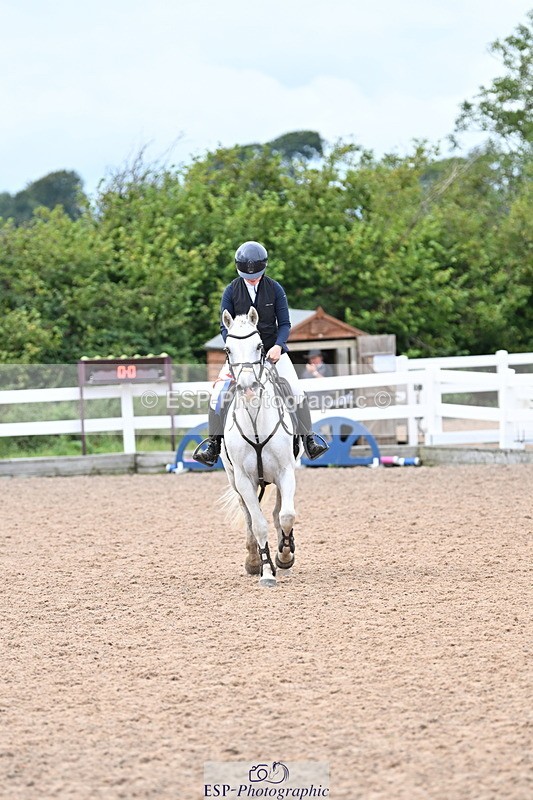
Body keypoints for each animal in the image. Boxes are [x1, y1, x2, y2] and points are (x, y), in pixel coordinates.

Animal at [220, 307, 298, 588]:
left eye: (260, 346)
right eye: (228, 349)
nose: (248, 389)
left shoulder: (286, 472)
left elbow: (286, 516)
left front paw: (284, 556)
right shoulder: (244, 480)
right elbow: (258, 524)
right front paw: (265, 571)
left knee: (278, 512)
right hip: (235, 480)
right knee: (248, 516)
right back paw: (254, 560)